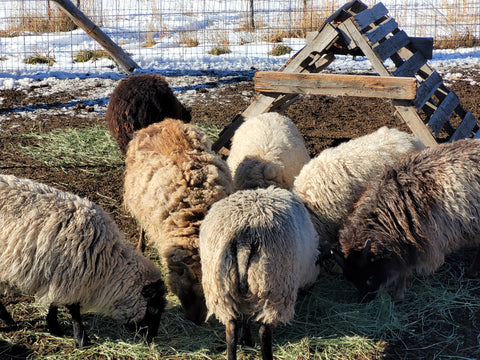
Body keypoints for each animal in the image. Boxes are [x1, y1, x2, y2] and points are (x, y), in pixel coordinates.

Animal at [0, 174, 168, 346]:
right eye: (153, 309)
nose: (152, 338)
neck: (107, 261)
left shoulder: (59, 276)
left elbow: (55, 302)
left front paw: (54, 326)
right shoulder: (70, 274)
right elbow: (73, 308)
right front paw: (81, 338)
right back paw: (8, 321)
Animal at [197, 186, 320, 360]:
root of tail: (244, 238)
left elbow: (245, 318)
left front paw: (246, 340)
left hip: (221, 290)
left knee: (231, 328)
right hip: (275, 288)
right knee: (264, 332)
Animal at [334, 139, 480, 302]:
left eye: (370, 277)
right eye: (351, 280)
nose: (364, 300)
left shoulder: (415, 241)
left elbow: (405, 268)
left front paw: (398, 295)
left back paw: (472, 272)